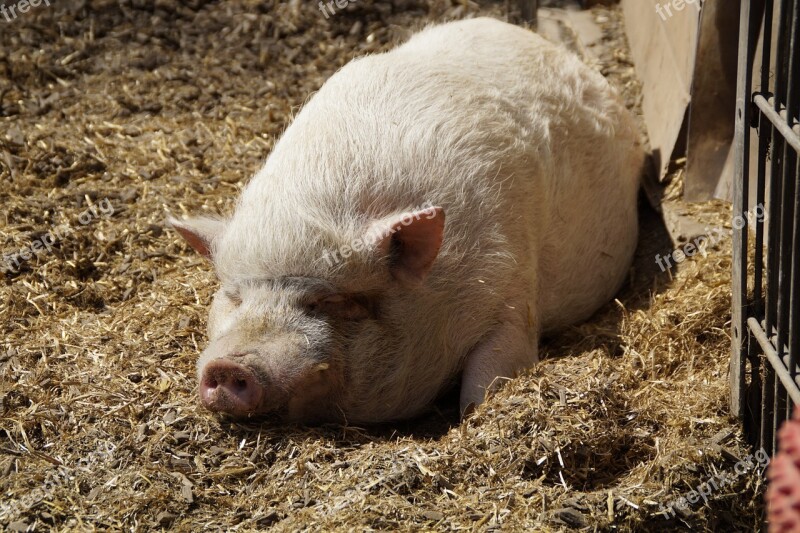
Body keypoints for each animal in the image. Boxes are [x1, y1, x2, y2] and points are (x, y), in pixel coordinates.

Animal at [170, 17, 644, 424]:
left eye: (327, 301)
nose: (229, 365)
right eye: (235, 297)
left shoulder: (511, 285)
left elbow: (489, 376)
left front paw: (474, 416)